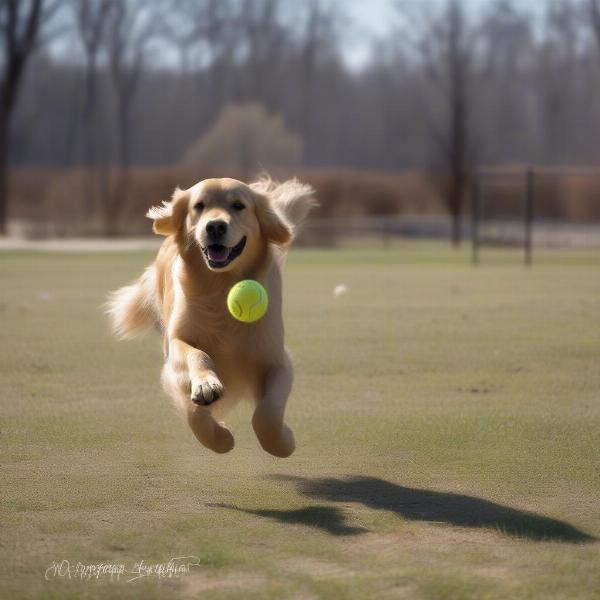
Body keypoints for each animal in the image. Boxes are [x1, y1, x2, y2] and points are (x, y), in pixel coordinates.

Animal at [106, 176, 316, 458]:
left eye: (238, 205)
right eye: (199, 206)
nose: (215, 226)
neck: (220, 287)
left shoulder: (276, 359)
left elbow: (268, 414)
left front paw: (284, 442)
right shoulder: (176, 348)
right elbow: (196, 387)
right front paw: (219, 431)